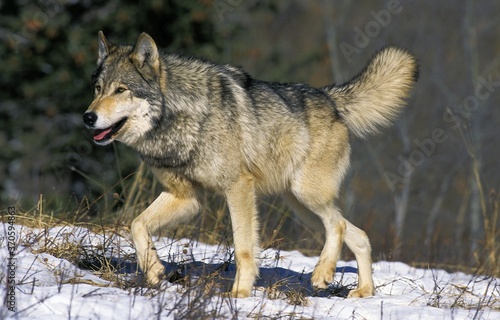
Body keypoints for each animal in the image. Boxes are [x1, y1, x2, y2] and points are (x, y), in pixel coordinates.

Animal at [83, 31, 418, 298]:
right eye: (98, 88)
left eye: (121, 90)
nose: (88, 117)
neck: (180, 119)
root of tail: (329, 97)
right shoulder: (188, 198)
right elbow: (136, 224)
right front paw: (153, 270)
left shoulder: (239, 188)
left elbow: (244, 248)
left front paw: (240, 294)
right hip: (303, 209)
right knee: (357, 234)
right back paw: (363, 291)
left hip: (306, 196)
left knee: (338, 225)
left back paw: (323, 275)